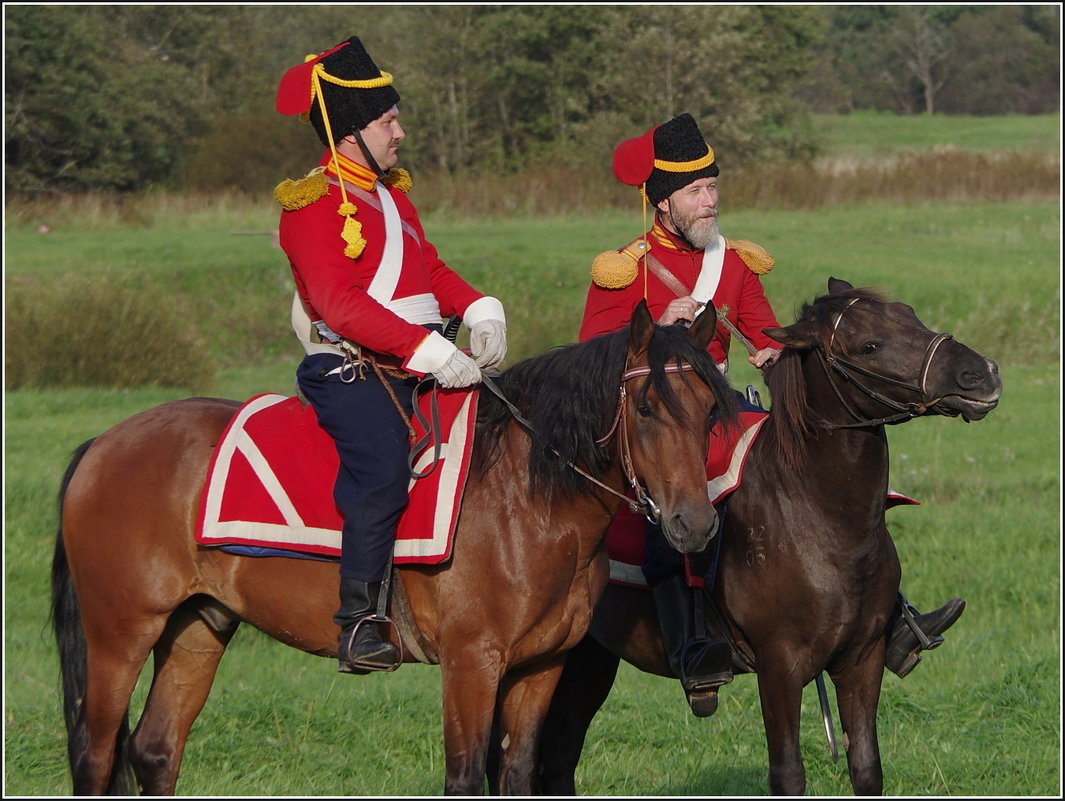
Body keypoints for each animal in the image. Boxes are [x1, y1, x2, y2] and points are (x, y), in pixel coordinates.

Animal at [50, 300, 741, 796]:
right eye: (646, 407)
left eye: (712, 408)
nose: (695, 525)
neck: (527, 501)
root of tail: (103, 444)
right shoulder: (471, 665)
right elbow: (465, 778)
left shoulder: (540, 668)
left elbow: (517, 776)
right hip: (120, 636)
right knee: (97, 754)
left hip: (197, 629)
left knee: (155, 750)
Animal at [536, 276, 1001, 796]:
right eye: (869, 345)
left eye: (911, 314)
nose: (981, 375)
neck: (824, 524)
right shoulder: (780, 669)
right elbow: (788, 773)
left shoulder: (862, 660)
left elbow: (866, 766)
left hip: (588, 660)